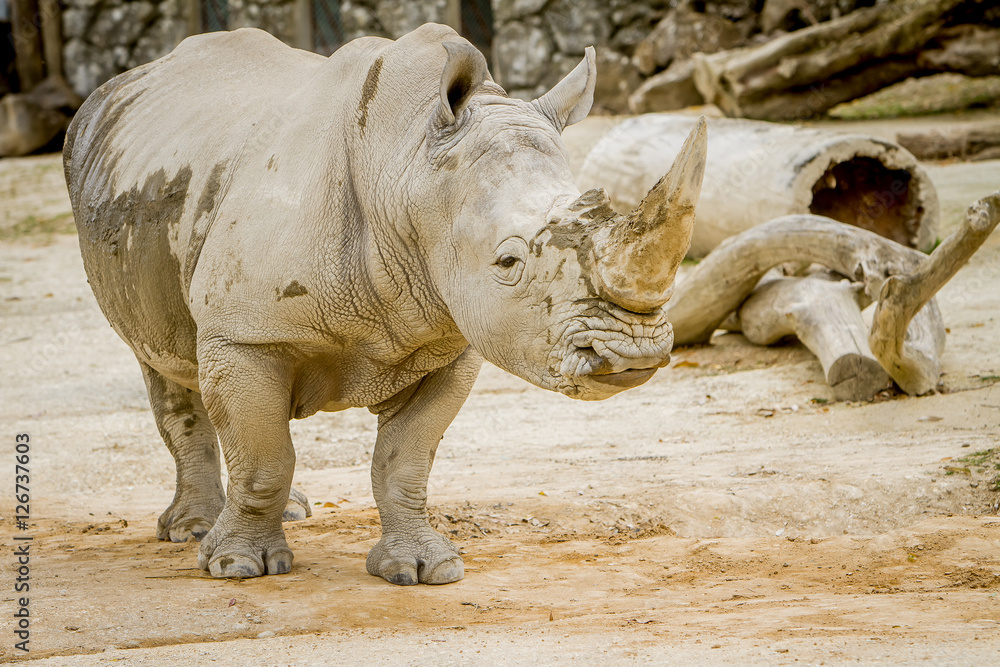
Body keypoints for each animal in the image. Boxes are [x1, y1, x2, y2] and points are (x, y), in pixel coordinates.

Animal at [64, 24, 707, 585]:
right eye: (507, 263)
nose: (633, 353)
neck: (407, 170)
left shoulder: (450, 343)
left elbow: (405, 461)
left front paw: (423, 570)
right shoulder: (246, 330)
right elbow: (264, 456)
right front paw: (238, 566)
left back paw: (287, 511)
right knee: (168, 370)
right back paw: (194, 531)